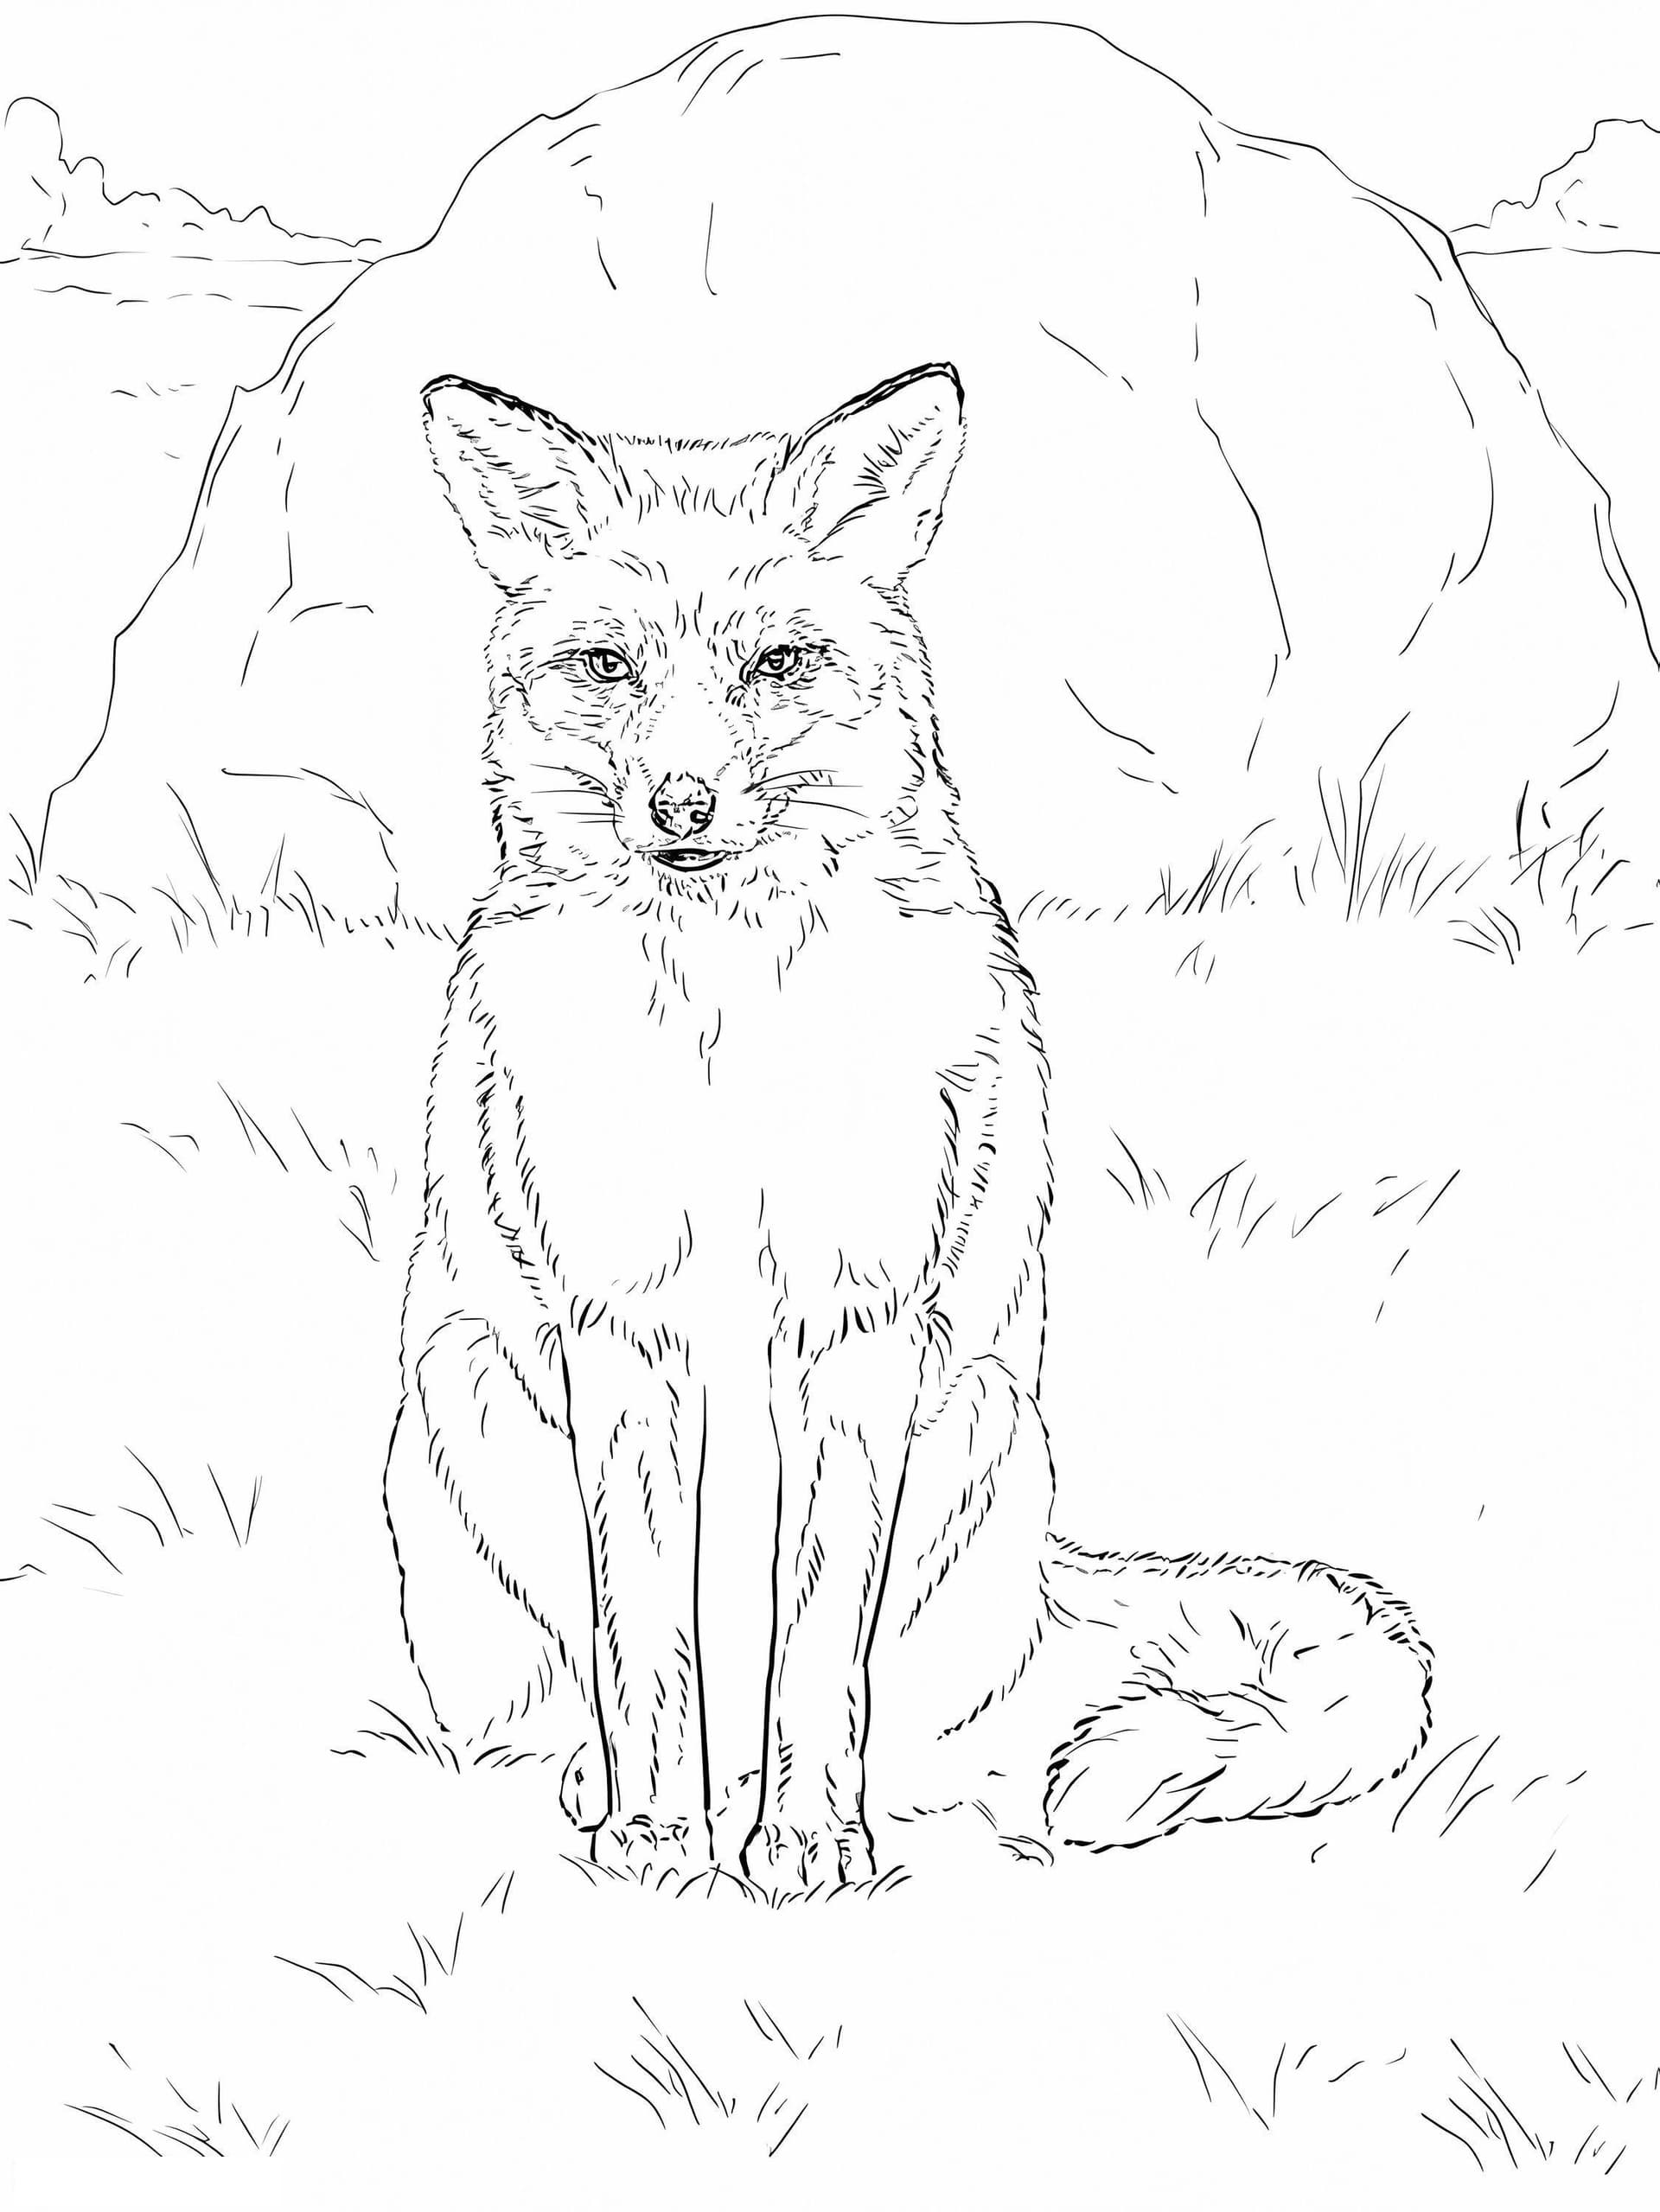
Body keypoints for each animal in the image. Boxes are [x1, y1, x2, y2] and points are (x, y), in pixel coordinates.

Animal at [383, 361, 1432, 1891]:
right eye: (609, 667)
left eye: (776, 664)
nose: (681, 803)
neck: (729, 1048)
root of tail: (1052, 1589)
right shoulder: (623, 1328)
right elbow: (644, 1642)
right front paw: (661, 1831)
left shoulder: (855, 1320)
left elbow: (819, 1647)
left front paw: (807, 1838)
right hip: (465, 1401)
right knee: (566, 1692)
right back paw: (615, 1783)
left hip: (981, 1429)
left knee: (935, 1729)